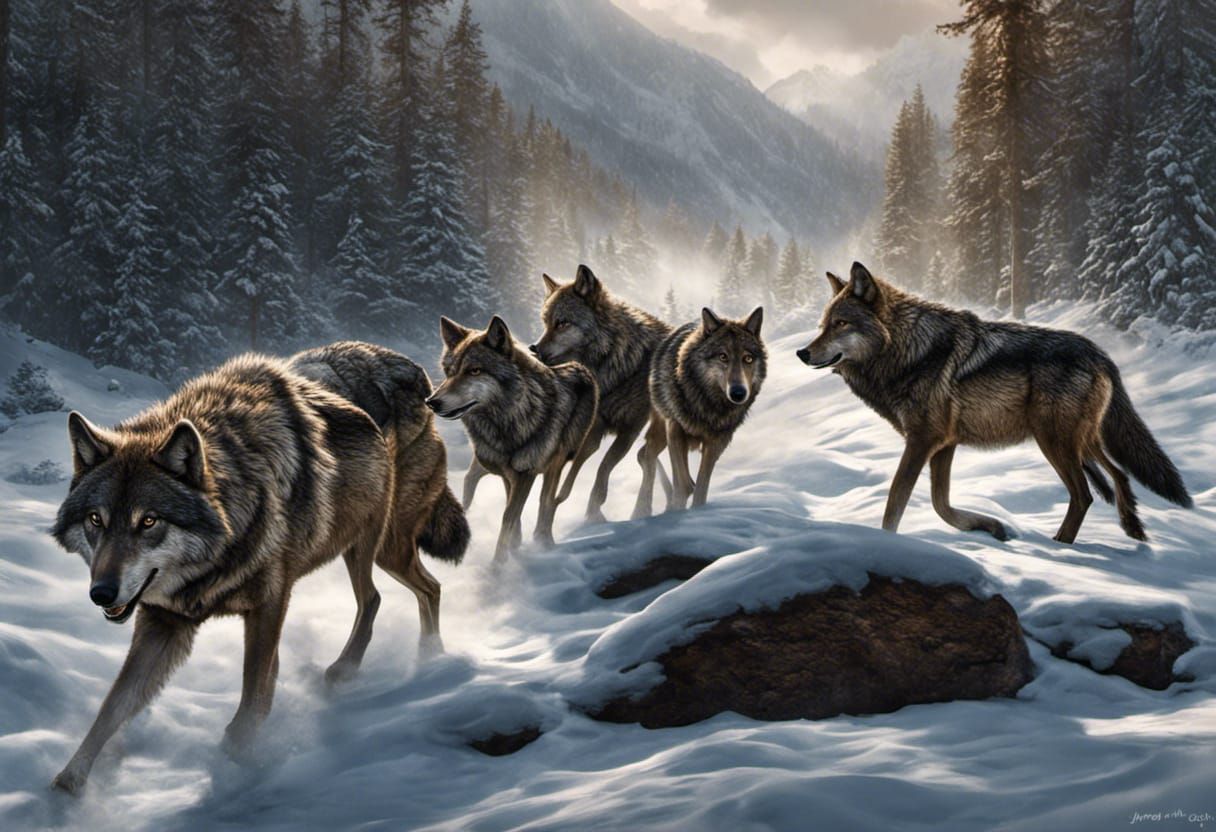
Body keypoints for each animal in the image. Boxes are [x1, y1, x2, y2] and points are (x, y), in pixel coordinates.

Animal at [49, 352, 420, 794]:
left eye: (148, 521)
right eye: (96, 520)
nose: (101, 593)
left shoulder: (269, 603)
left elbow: (251, 691)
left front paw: (240, 765)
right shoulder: (164, 622)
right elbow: (114, 704)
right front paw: (70, 782)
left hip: (362, 546)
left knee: (372, 598)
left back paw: (345, 669)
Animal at [428, 315, 598, 562]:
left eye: (474, 371)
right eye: (449, 371)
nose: (431, 402)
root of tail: (580, 367)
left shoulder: (524, 473)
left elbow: (509, 517)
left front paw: (498, 565)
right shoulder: (507, 473)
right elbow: (510, 513)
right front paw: (513, 548)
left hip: (557, 462)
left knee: (547, 501)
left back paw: (544, 541)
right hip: (485, 462)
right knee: (470, 479)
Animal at [516, 264, 674, 523]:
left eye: (562, 323)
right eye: (546, 322)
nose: (534, 349)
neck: (613, 360)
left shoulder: (630, 428)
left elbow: (604, 467)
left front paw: (593, 510)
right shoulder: (594, 427)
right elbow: (577, 464)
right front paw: (560, 499)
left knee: (648, 455)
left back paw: (644, 509)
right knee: (646, 456)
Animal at [635, 307, 766, 516]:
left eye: (748, 358)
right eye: (723, 356)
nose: (738, 393)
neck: (708, 405)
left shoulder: (717, 441)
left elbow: (701, 487)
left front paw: (696, 513)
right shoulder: (675, 428)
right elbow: (683, 485)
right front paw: (677, 514)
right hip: (661, 430)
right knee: (646, 455)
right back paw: (642, 511)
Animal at [797, 261, 1192, 543]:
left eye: (841, 323)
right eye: (822, 325)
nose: (802, 353)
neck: (907, 350)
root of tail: (1100, 354)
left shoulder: (923, 441)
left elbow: (896, 501)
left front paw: (886, 544)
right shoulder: (944, 445)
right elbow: (940, 504)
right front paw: (991, 527)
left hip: (1055, 443)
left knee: (1085, 495)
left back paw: (1061, 546)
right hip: (1081, 442)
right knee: (1119, 475)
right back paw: (1134, 530)